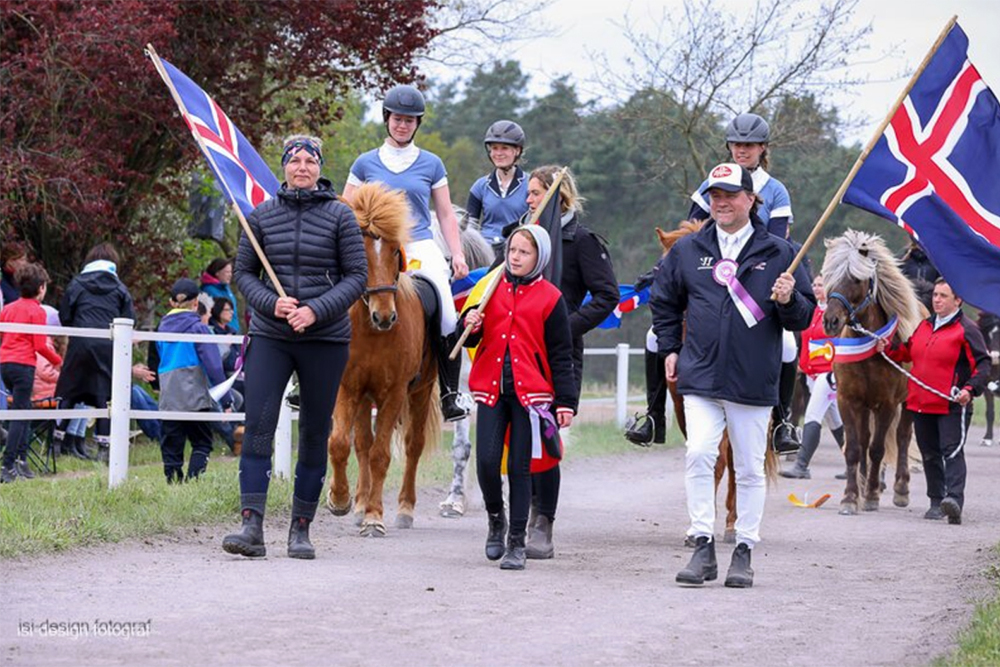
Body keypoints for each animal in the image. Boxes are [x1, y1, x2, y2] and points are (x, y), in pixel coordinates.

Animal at [326, 183, 440, 536]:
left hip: (421, 390)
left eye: (393, 252)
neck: (372, 331)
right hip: (364, 396)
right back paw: (359, 504)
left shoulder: (394, 393)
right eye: (358, 250)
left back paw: (404, 509)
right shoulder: (347, 387)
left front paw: (375, 517)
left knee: (413, 445)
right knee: (362, 443)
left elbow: (381, 455)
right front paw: (341, 500)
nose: (385, 316)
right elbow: (341, 444)